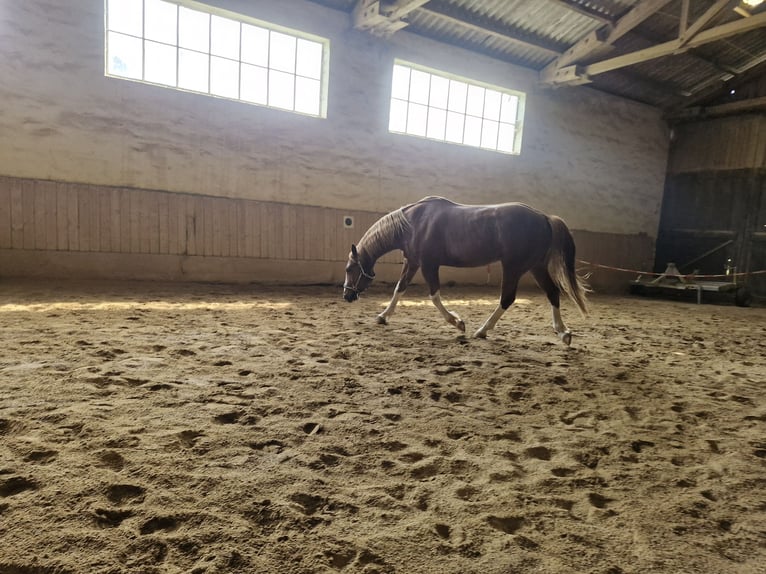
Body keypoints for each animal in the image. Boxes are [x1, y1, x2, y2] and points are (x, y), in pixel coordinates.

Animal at [342, 196, 589, 344]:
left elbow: (434, 296)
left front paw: (458, 323)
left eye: (349, 268)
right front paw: (382, 317)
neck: (414, 223)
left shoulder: (429, 264)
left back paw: (482, 330)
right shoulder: (412, 262)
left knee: (507, 298)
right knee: (552, 292)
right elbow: (399, 289)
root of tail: (544, 217)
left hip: (514, 267)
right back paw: (563, 332)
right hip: (535, 267)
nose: (346, 295)